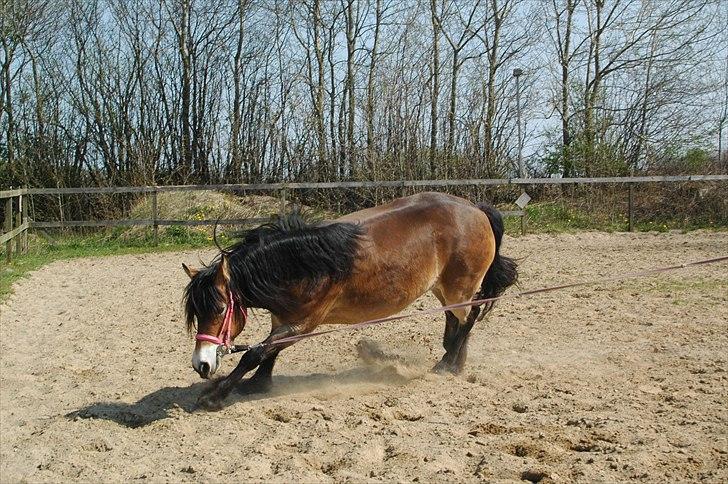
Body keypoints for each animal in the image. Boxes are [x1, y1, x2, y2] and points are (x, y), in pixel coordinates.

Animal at [182, 191, 516, 410]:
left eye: (220, 309)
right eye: (196, 313)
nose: (202, 364)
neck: (304, 263)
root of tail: (476, 209)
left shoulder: (305, 323)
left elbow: (254, 353)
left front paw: (215, 395)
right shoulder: (284, 319)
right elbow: (268, 351)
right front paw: (258, 384)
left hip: (460, 288)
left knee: (469, 318)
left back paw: (446, 364)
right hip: (444, 289)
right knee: (458, 319)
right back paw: (456, 361)